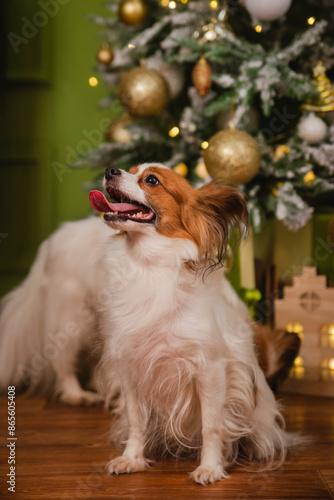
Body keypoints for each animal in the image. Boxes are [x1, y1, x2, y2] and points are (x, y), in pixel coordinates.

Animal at [0, 164, 298, 484]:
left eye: (152, 180)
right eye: (129, 171)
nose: (110, 169)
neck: (148, 267)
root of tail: (52, 240)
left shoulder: (210, 370)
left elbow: (211, 425)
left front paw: (210, 467)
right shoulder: (130, 368)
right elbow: (136, 421)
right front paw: (132, 458)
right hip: (72, 318)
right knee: (62, 361)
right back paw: (76, 394)